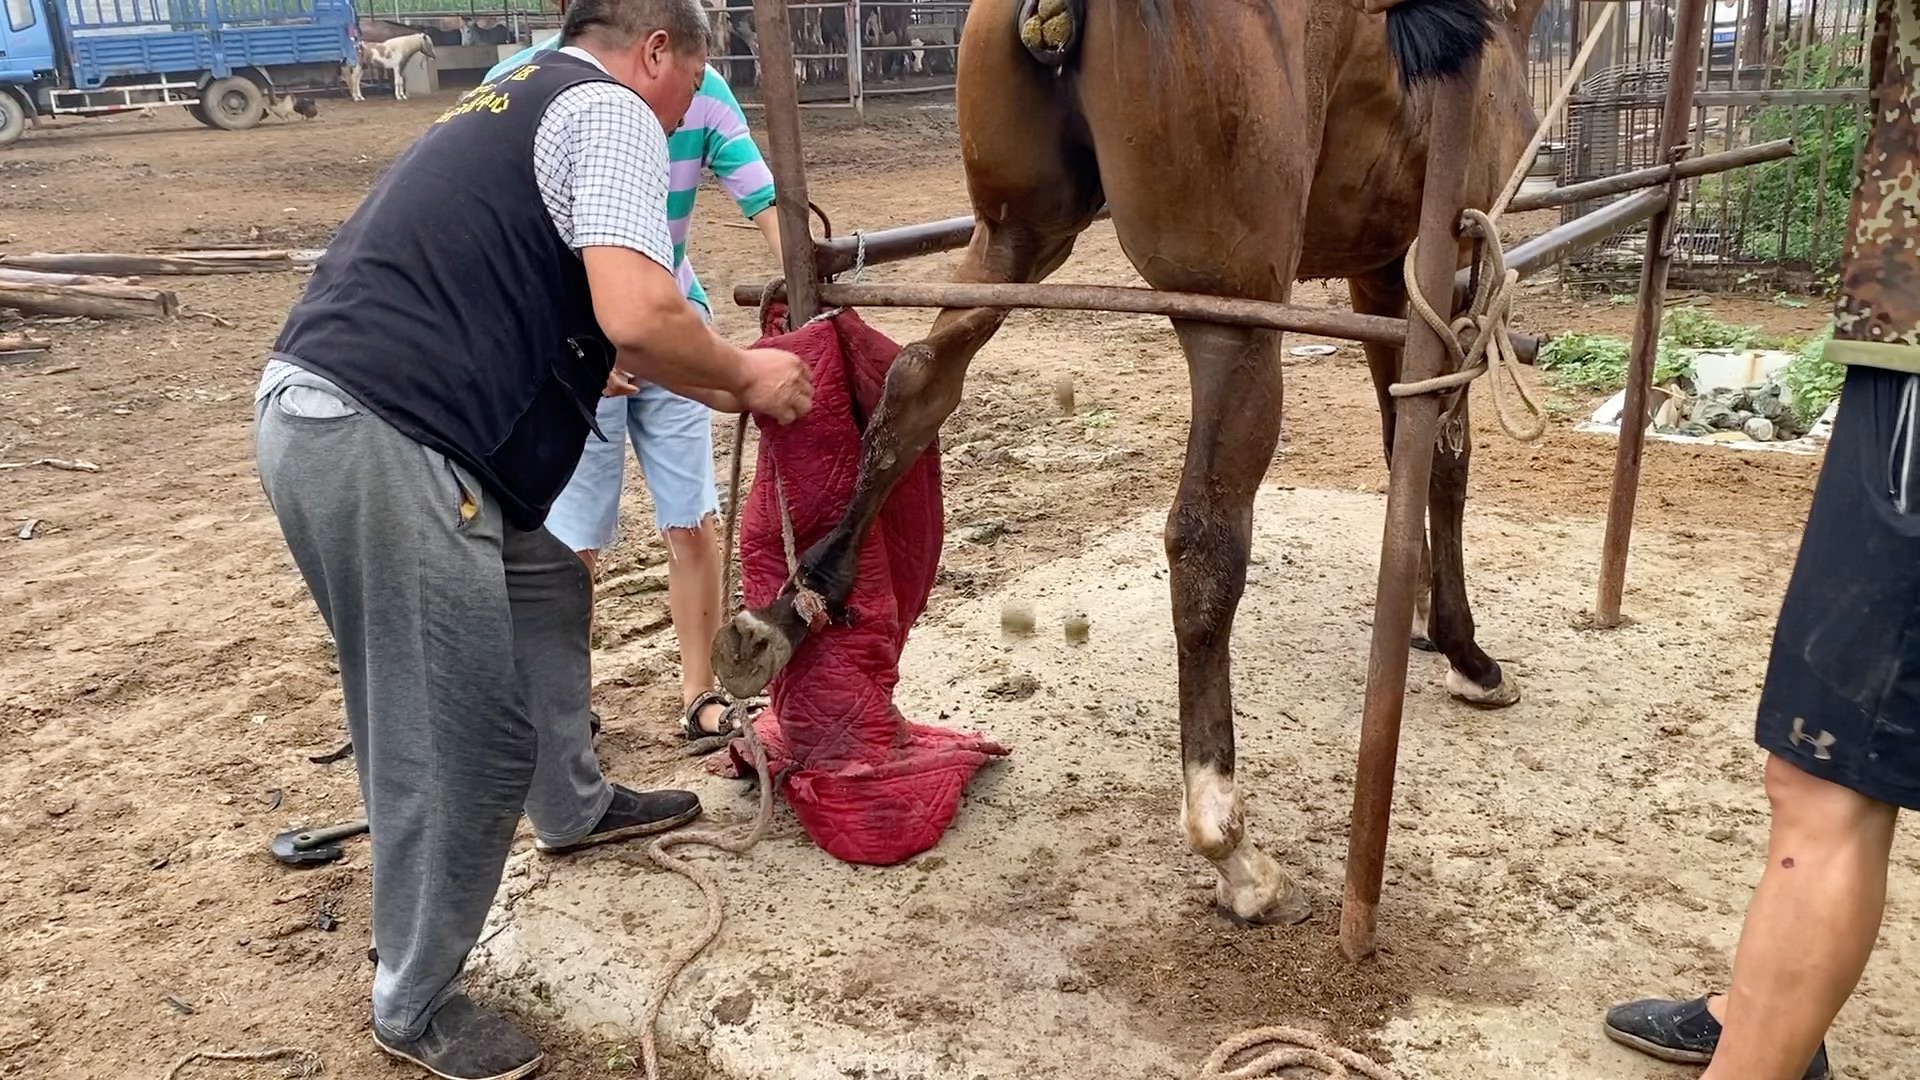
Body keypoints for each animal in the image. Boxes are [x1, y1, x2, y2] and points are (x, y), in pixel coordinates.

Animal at [721, 0, 1543, 926]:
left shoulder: (1384, 270)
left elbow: (1406, 440)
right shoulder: (1443, 273)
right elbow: (1444, 457)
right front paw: (1468, 654)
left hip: (1012, 241)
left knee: (915, 389)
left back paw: (790, 609)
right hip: (1232, 320)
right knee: (1204, 535)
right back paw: (1231, 846)